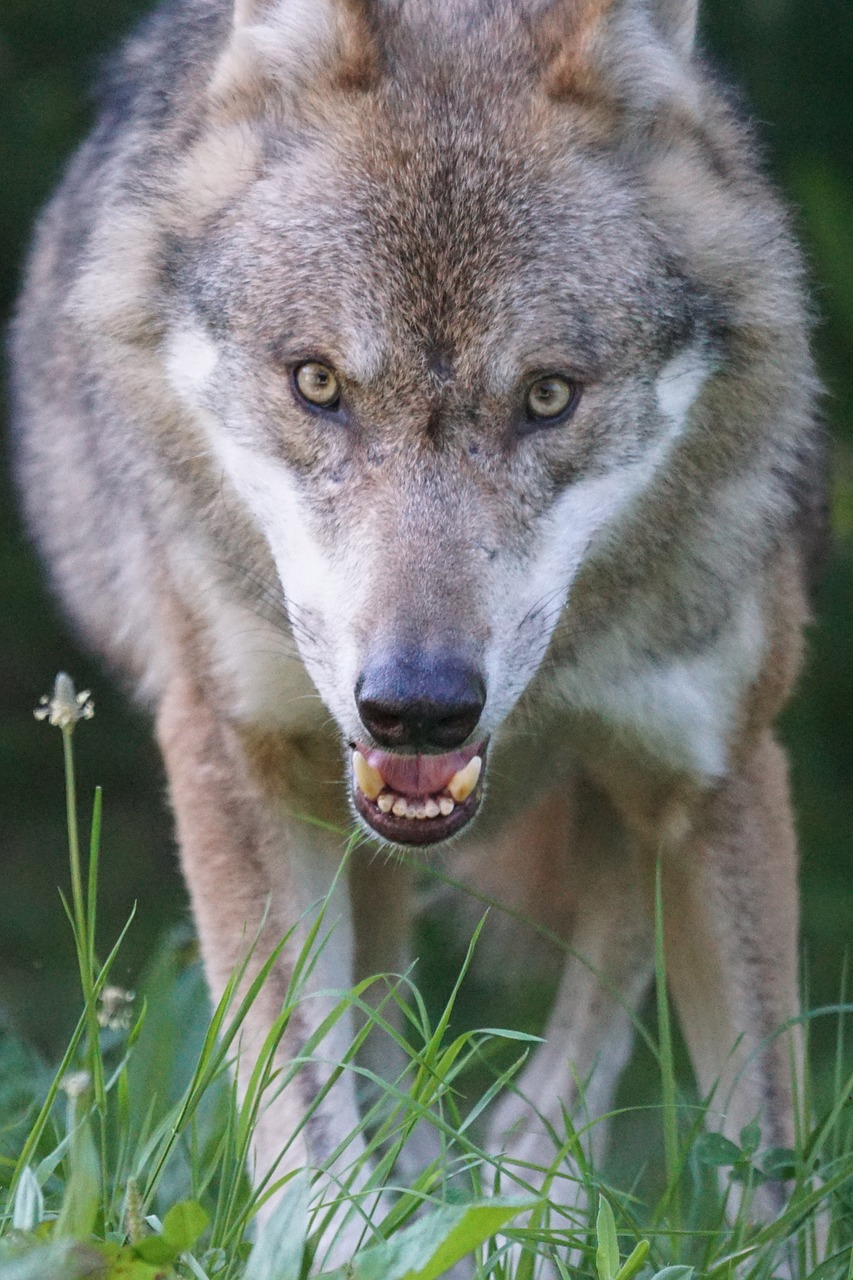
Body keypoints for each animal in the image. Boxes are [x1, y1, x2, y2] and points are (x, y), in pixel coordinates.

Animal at [11, 0, 824, 1259]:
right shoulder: (236, 752)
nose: (418, 703)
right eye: (317, 384)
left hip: (627, 806)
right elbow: (301, 1115)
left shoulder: (716, 770)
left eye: (547, 395)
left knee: (581, 1017)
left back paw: (520, 1194)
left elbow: (770, 1171)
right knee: (386, 1027)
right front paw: (350, 1241)